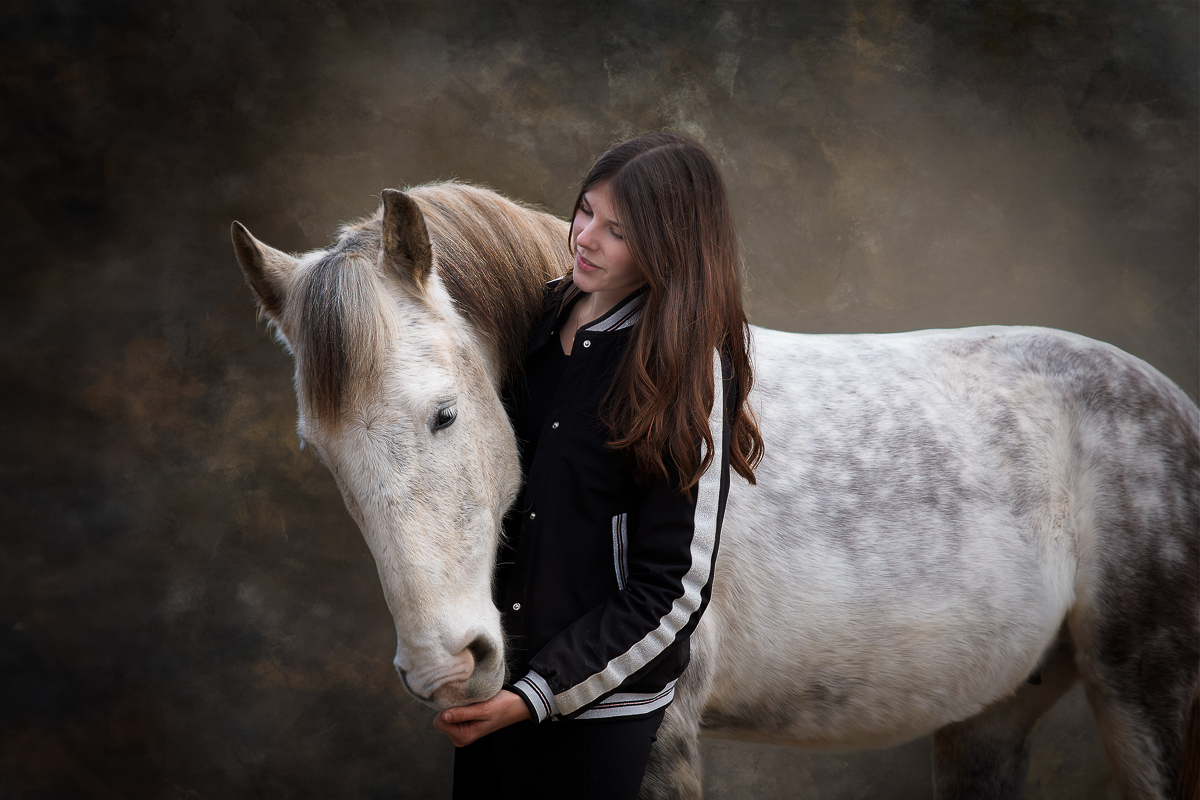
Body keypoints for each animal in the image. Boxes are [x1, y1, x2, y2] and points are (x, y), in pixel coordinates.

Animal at [231, 182, 1199, 799]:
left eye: (443, 415)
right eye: (322, 454)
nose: (443, 669)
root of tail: (1172, 405)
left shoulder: (662, 736)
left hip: (1148, 701)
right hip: (989, 715)